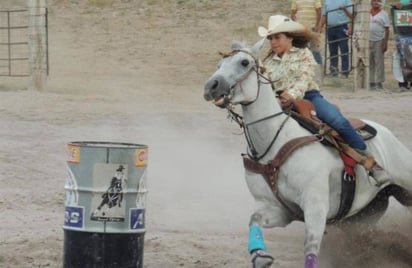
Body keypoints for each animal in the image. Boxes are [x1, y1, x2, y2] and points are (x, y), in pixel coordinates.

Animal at [203, 39, 412, 268]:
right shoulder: (278, 209)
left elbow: (311, 248)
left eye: (244, 62)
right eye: (219, 64)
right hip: (364, 213)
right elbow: (254, 220)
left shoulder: (315, 208)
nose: (211, 86)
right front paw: (260, 255)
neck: (275, 143)